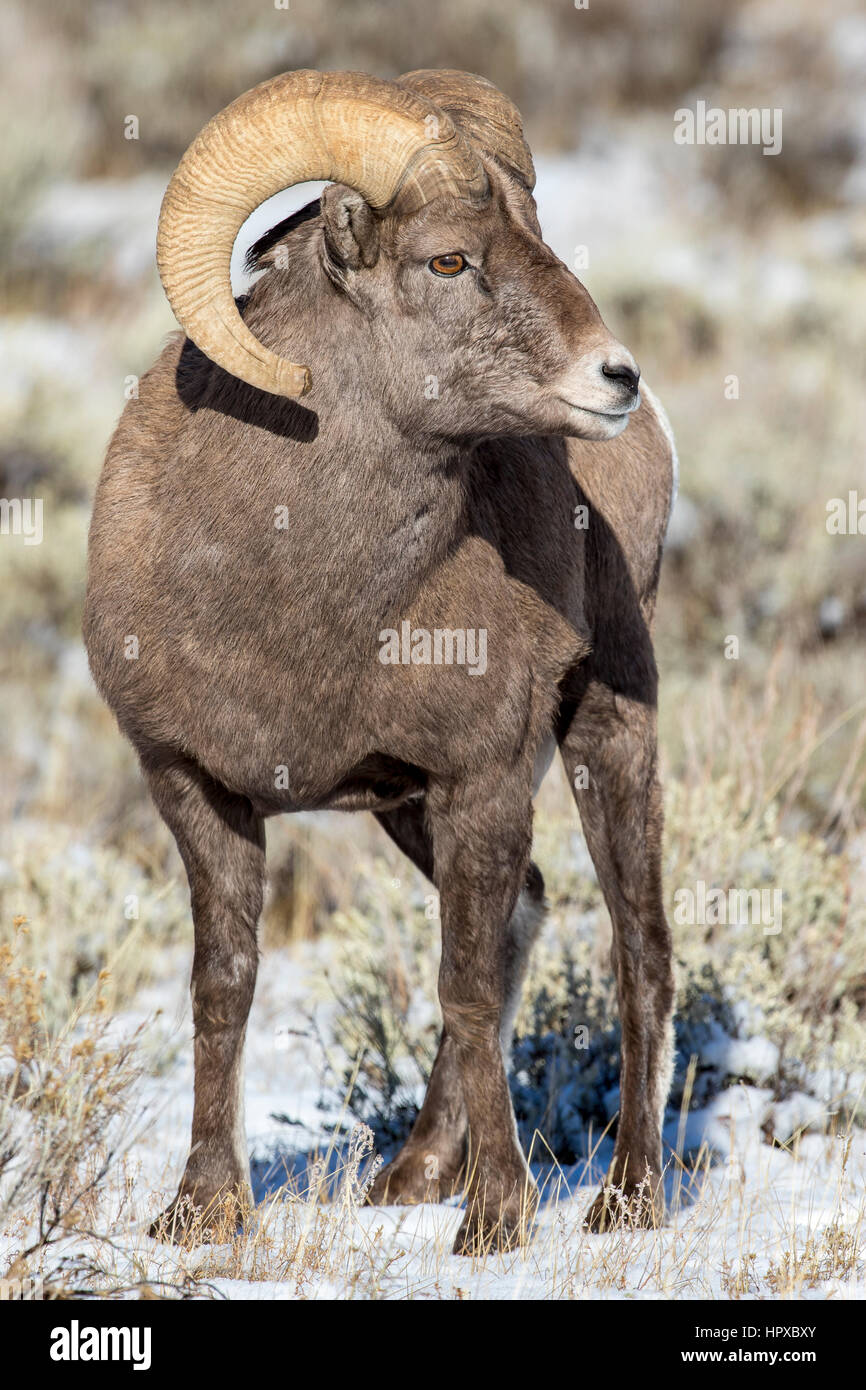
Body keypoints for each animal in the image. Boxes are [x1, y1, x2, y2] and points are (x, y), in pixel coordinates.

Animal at [83, 68, 677, 1255]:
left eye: (536, 234)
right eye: (448, 260)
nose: (614, 376)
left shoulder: (482, 782)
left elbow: (461, 986)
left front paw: (494, 1221)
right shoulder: (196, 790)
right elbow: (223, 988)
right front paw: (199, 1210)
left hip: (603, 732)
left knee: (635, 948)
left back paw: (626, 1196)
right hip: (410, 812)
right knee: (531, 913)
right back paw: (408, 1177)